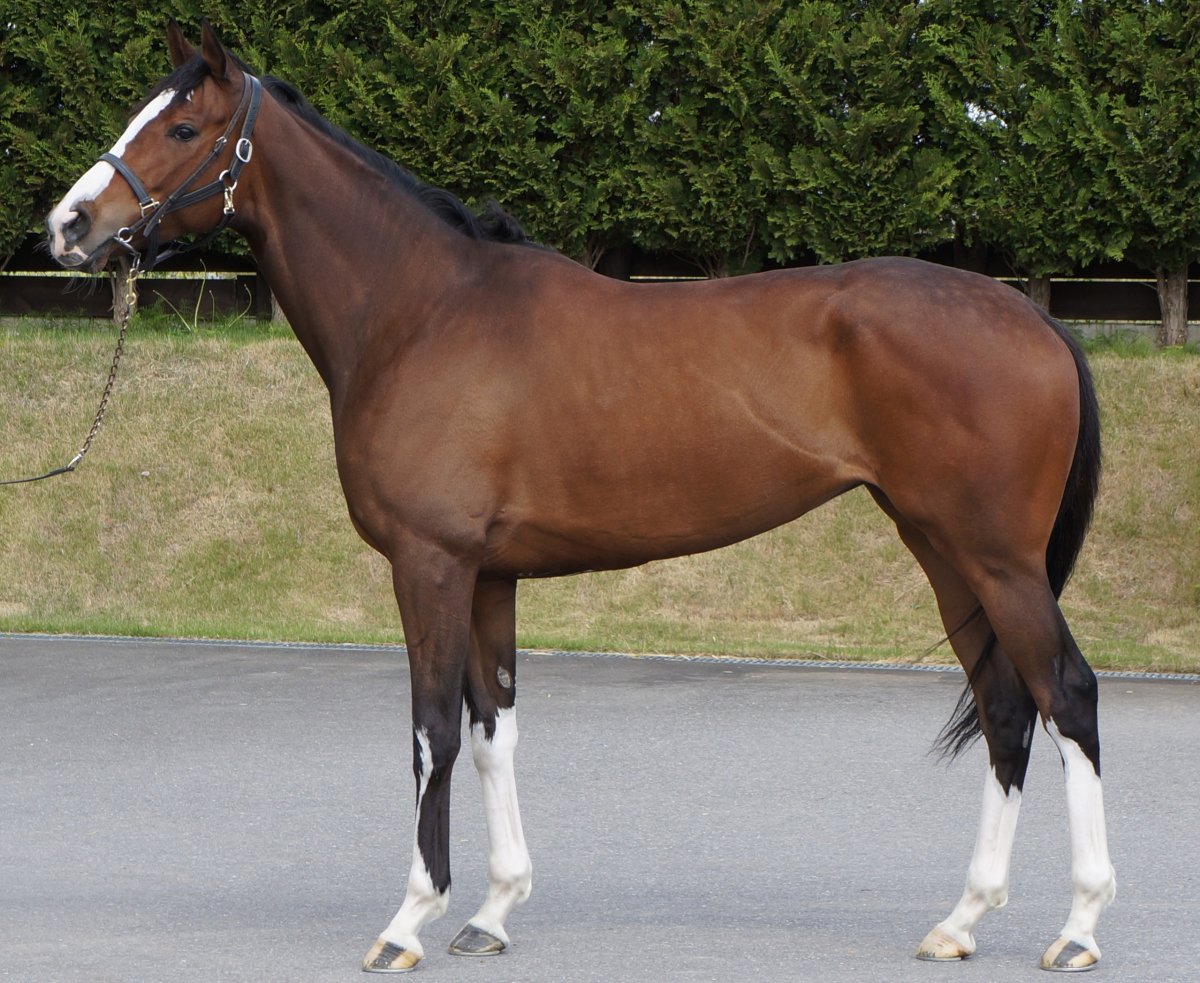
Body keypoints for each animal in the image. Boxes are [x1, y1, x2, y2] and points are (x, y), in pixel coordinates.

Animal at [46, 20, 1114, 974]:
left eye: (184, 127)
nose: (67, 226)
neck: (422, 311)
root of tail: (1033, 318)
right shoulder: (488, 576)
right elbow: (492, 730)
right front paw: (491, 911)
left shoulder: (430, 565)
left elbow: (431, 733)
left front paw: (408, 920)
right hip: (942, 547)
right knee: (1007, 708)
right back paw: (961, 920)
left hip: (996, 557)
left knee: (1066, 695)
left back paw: (1078, 927)